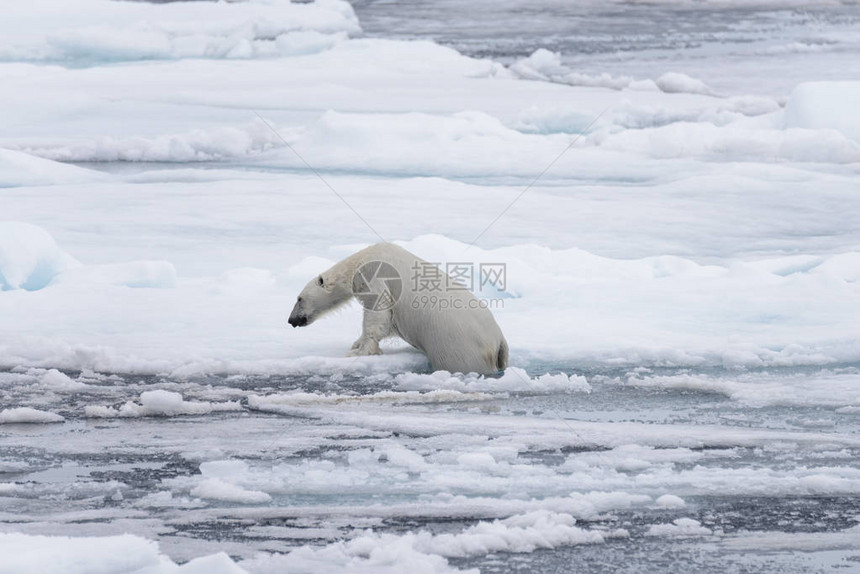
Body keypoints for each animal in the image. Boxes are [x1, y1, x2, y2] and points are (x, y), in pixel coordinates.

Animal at [288, 242, 508, 374]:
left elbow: (378, 315)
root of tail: (499, 341)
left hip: (458, 347)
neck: (361, 259)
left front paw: (359, 351)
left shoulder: (373, 275)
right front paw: (356, 344)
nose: (291, 320)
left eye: (299, 299)